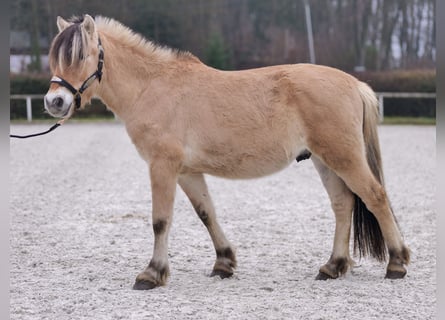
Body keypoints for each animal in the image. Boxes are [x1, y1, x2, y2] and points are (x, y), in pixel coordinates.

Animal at [44, 14, 410, 290]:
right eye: (54, 58)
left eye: (79, 56)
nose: (54, 102)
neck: (152, 87)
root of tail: (355, 84)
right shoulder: (187, 171)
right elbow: (207, 213)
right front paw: (223, 263)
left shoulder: (162, 166)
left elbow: (161, 221)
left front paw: (152, 273)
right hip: (325, 161)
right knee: (343, 204)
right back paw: (333, 266)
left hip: (343, 158)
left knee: (376, 197)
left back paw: (395, 263)